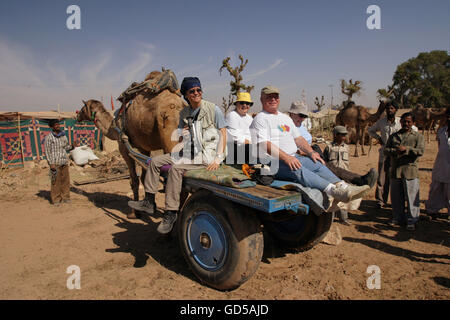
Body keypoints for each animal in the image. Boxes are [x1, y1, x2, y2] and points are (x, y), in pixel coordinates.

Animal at [77, 71, 185, 219]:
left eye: (83, 108)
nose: (77, 116)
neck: (113, 126)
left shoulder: (124, 147)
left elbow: (134, 180)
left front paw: (134, 213)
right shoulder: (144, 148)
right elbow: (145, 178)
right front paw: (150, 206)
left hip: (170, 135)